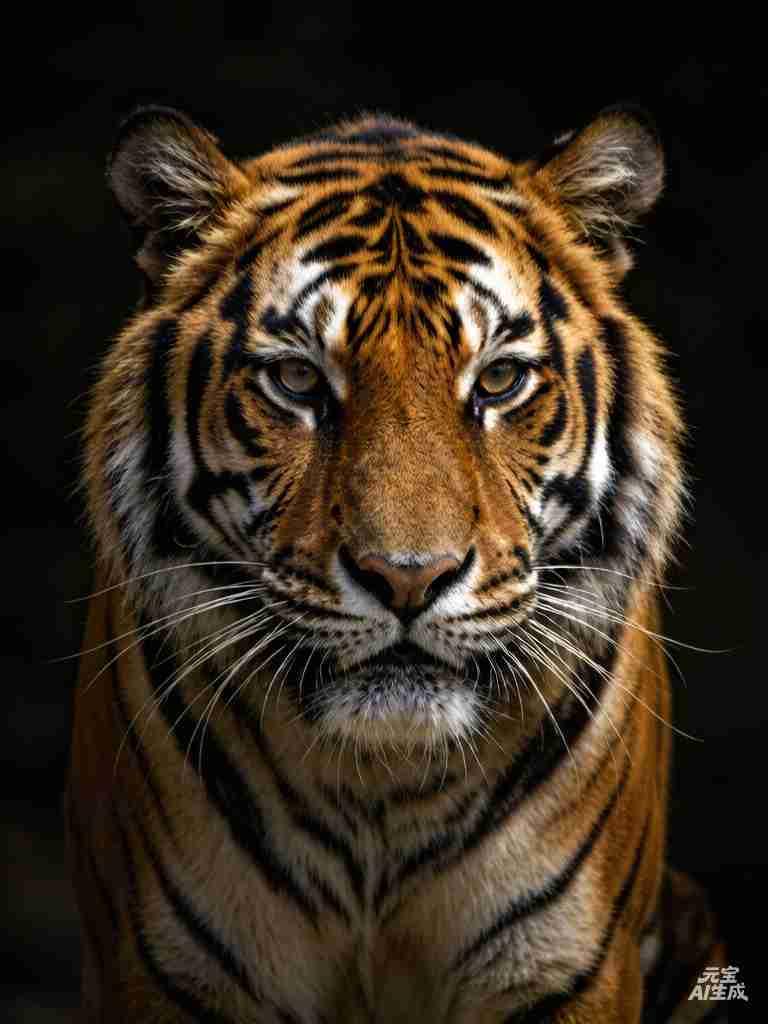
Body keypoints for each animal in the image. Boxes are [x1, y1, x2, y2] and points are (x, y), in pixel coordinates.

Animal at [67, 104, 728, 1022]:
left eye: (500, 380)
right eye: (297, 380)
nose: (408, 577)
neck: (382, 787)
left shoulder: (566, 967)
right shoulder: (167, 970)